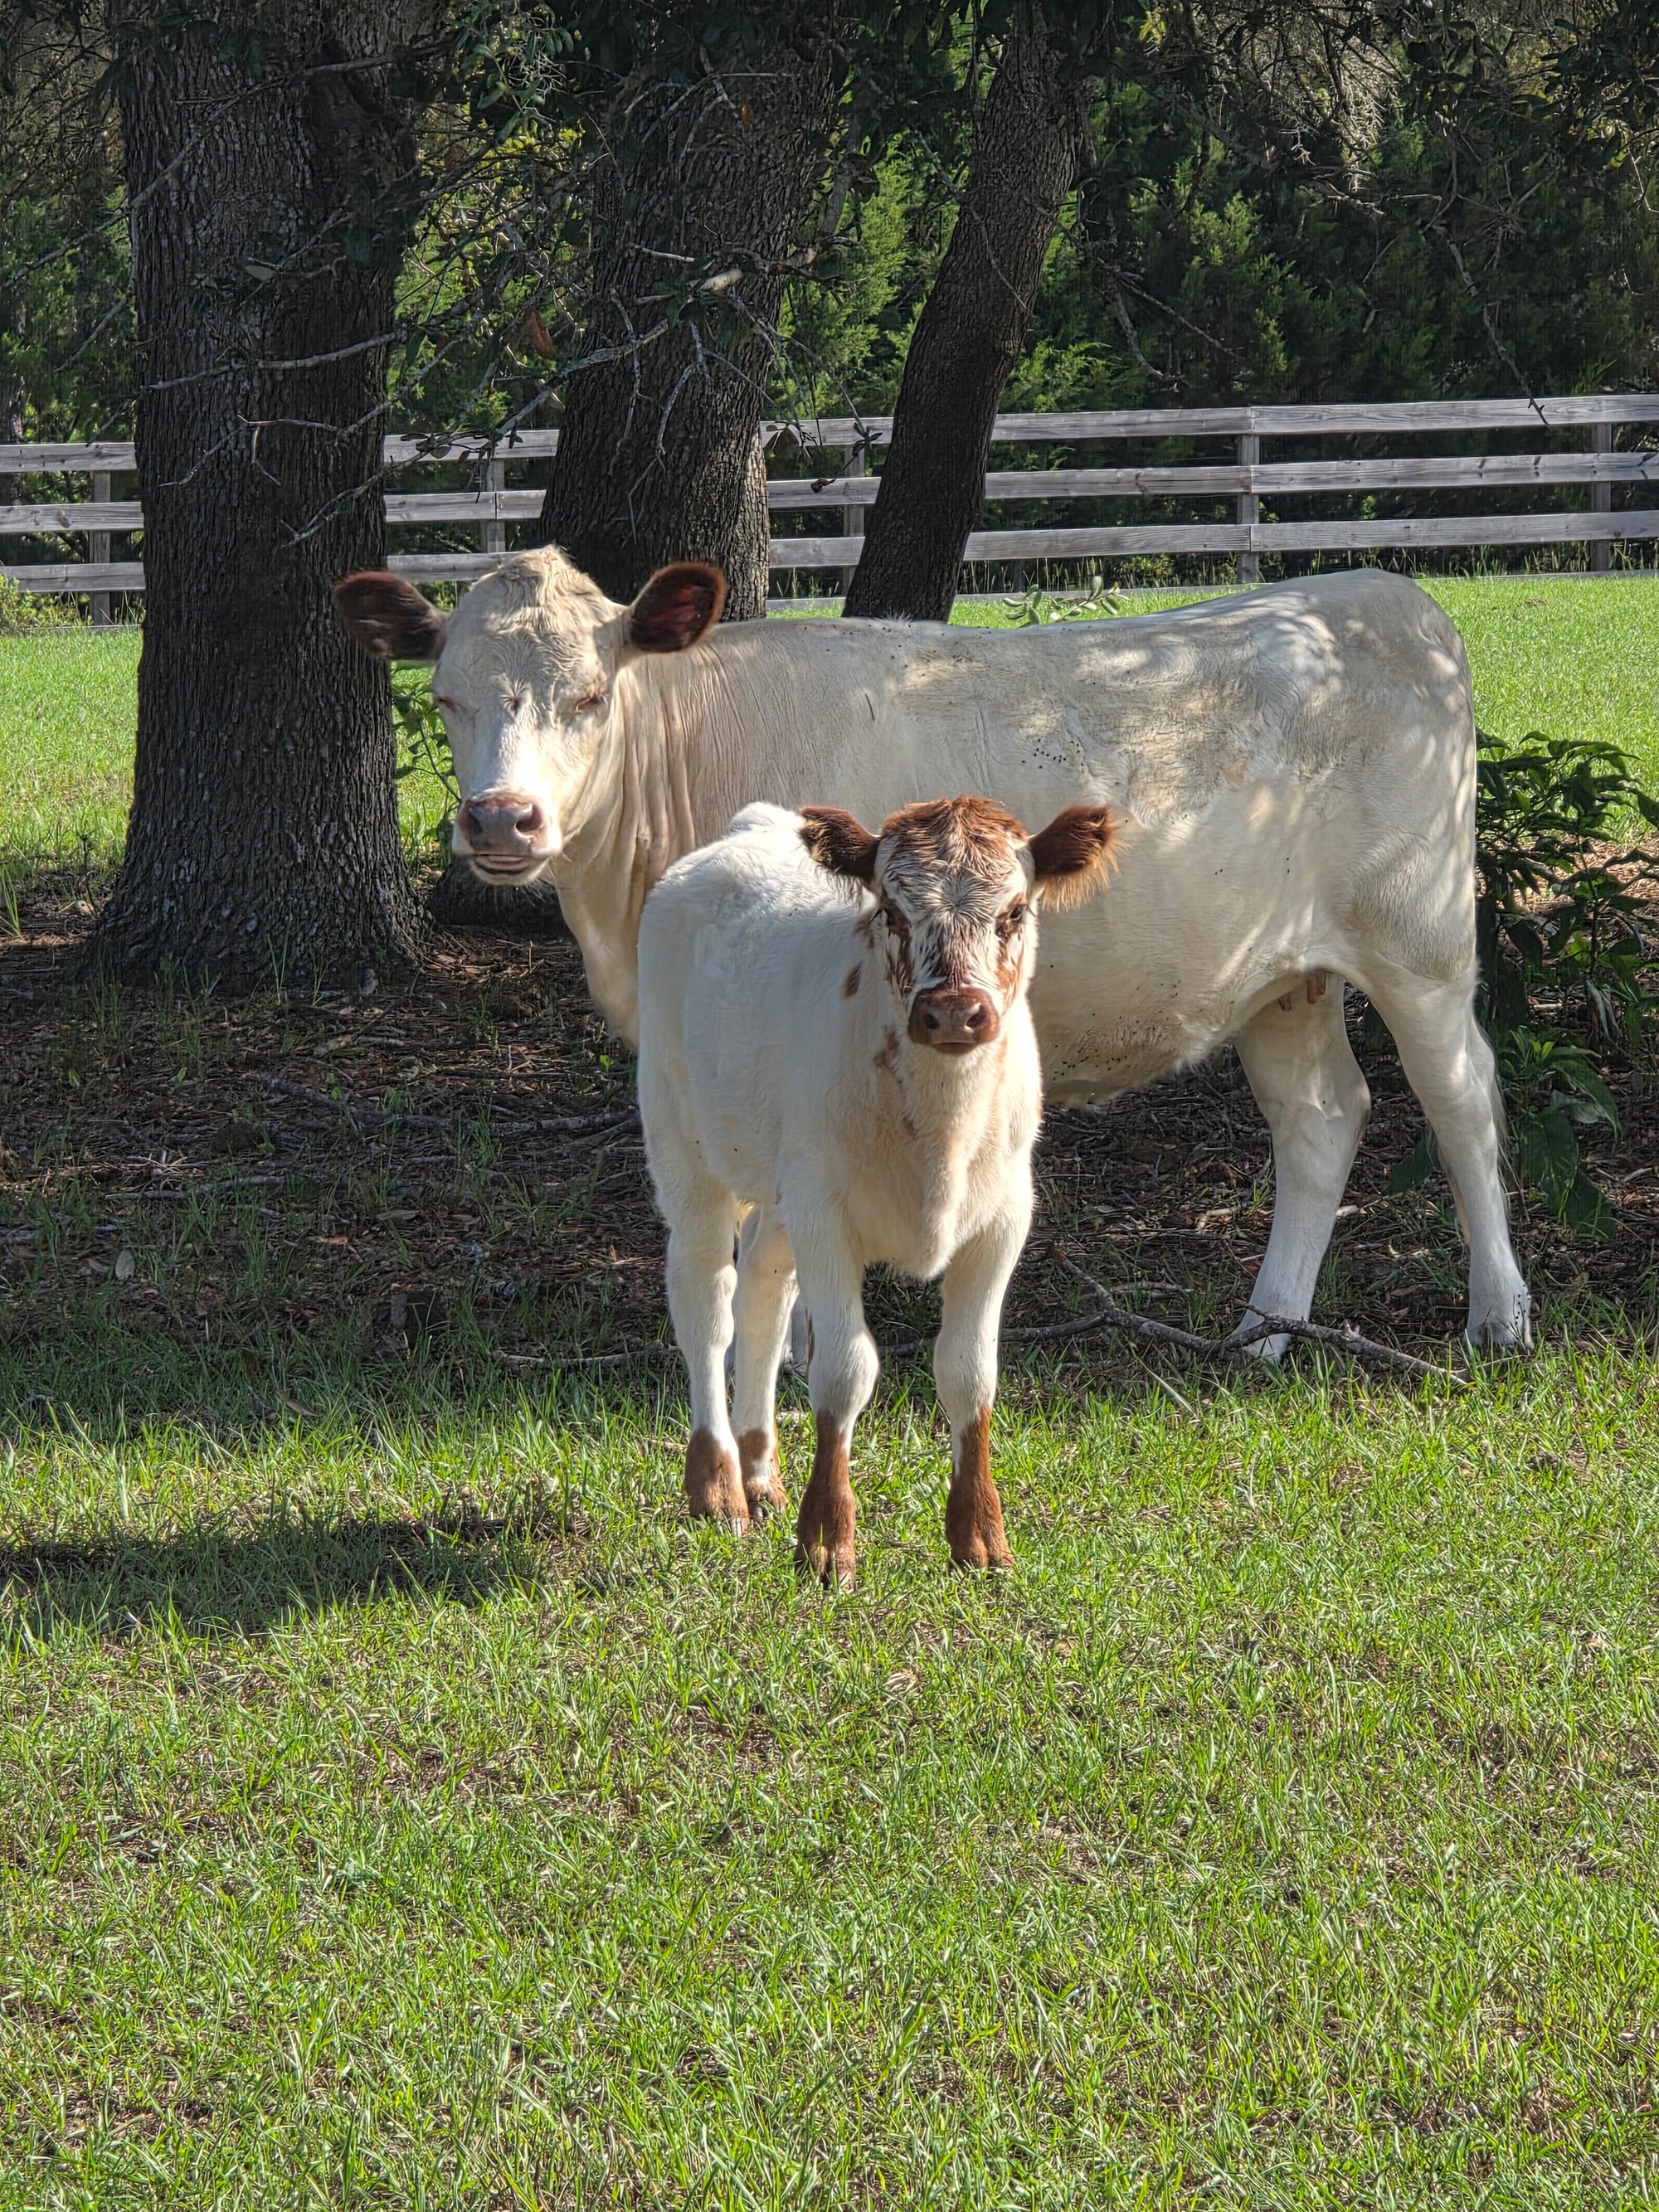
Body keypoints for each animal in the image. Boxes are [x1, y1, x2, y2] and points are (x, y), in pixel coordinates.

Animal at [334, 550, 1533, 1356]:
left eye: (589, 695)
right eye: (444, 696)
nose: (501, 819)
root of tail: (1375, 592)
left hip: (1421, 934)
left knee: (1461, 1101)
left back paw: (1499, 1318)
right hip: (1282, 975)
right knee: (1320, 1118)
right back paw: (1262, 1332)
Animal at [638, 794, 1116, 1585]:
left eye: (1016, 910)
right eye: (891, 910)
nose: (954, 1010)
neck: (940, 1132)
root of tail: (750, 825)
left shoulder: (1003, 1218)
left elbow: (969, 1371)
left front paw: (980, 1534)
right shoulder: (826, 1216)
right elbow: (844, 1371)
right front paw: (827, 1539)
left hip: (784, 1181)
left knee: (762, 1290)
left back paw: (760, 1471)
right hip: (682, 1134)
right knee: (705, 1297)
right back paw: (718, 1484)